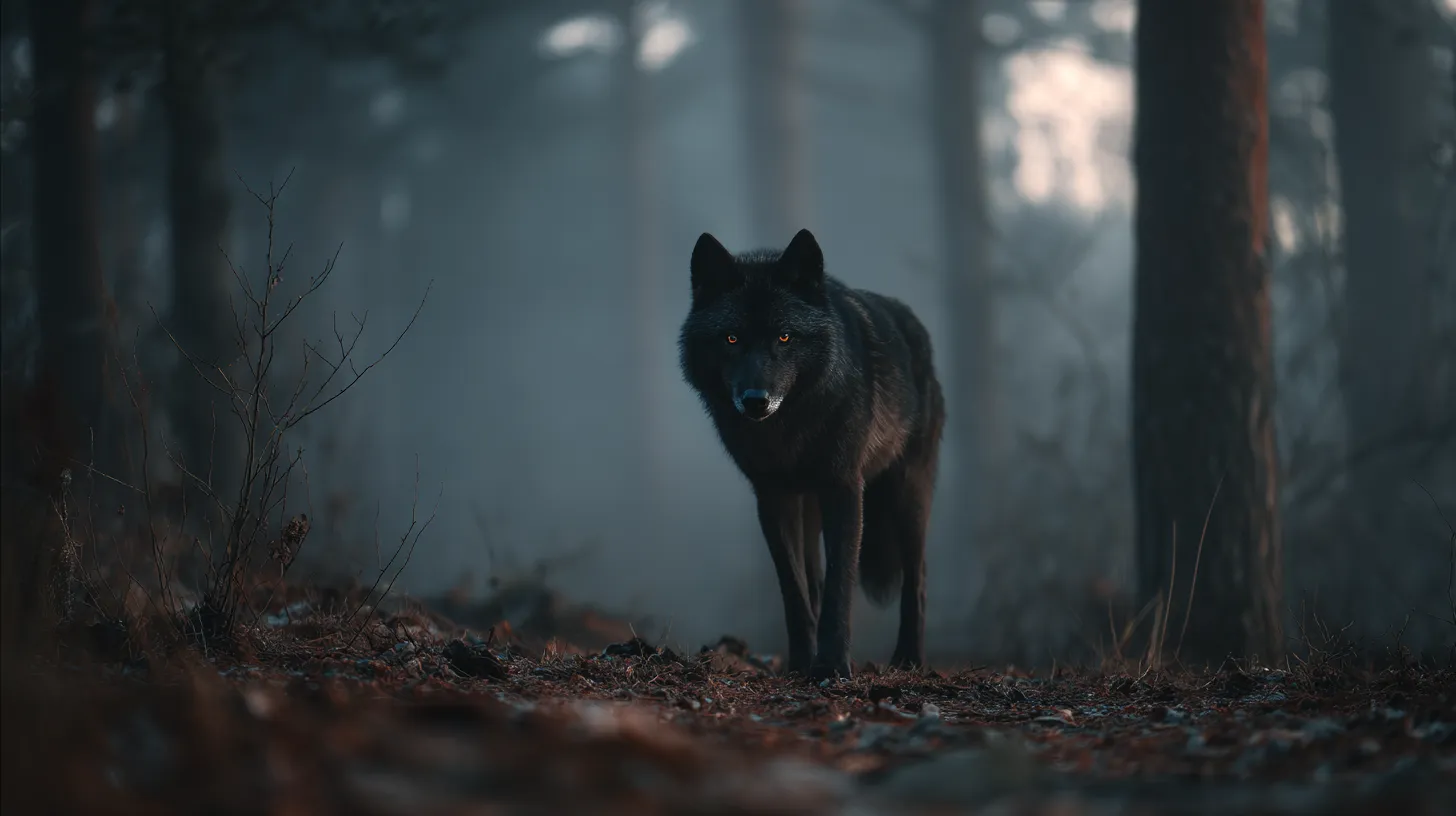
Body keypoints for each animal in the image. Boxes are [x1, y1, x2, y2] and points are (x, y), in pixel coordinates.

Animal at [678, 229, 945, 681]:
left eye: (785, 337)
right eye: (731, 338)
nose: (756, 401)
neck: (787, 432)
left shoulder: (843, 488)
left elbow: (840, 586)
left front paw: (833, 665)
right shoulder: (773, 497)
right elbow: (795, 590)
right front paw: (803, 663)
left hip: (906, 494)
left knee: (919, 578)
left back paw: (909, 658)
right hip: (811, 506)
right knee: (814, 579)